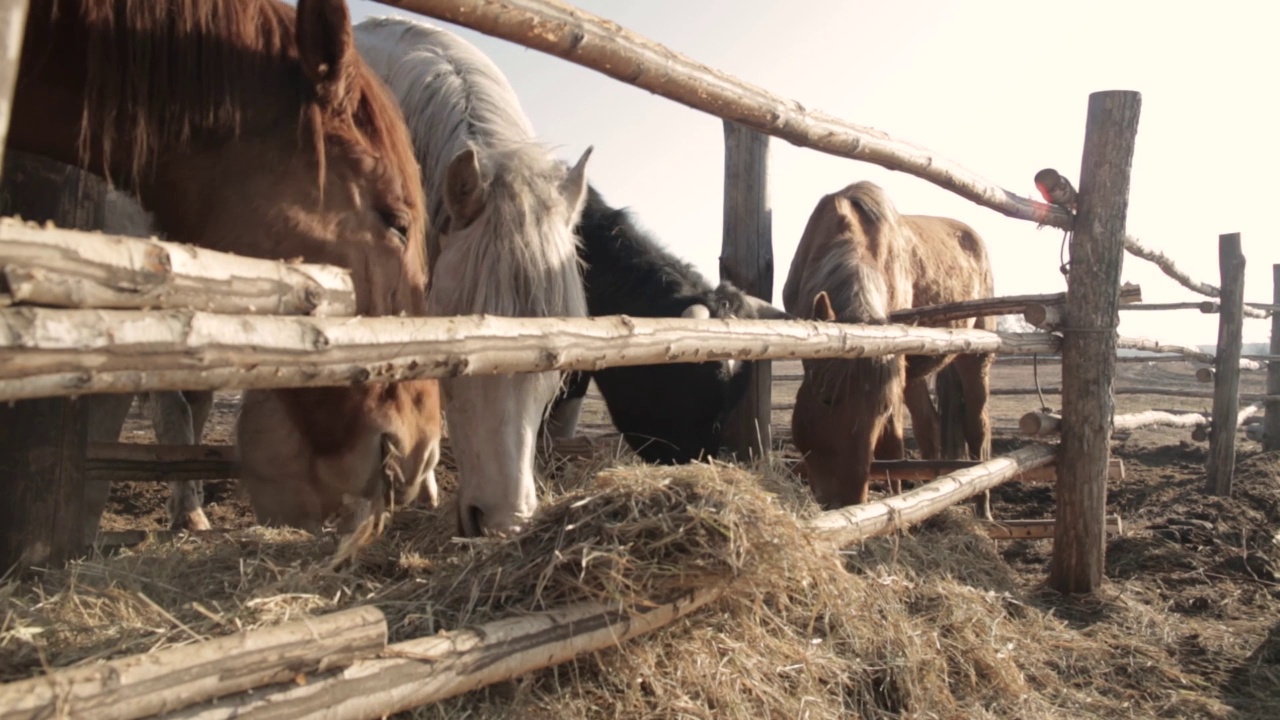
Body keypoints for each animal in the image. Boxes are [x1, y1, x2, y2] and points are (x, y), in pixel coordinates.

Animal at [778, 181, 998, 507]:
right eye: (827, 398)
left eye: (880, 411)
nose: (846, 499)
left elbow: (892, 445)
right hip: (912, 372)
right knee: (929, 427)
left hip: (975, 359)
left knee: (978, 430)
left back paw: (982, 508)